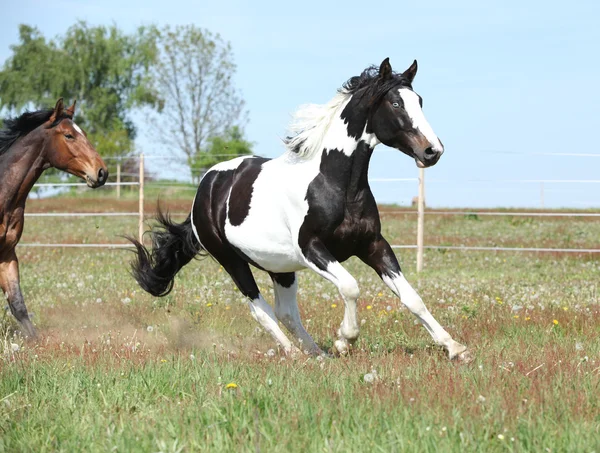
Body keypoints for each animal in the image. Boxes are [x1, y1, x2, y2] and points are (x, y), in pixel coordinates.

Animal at [130, 58, 468, 360]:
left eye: (419, 101)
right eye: (396, 104)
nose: (432, 151)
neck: (334, 184)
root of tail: (206, 187)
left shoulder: (373, 245)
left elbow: (412, 298)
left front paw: (455, 348)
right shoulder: (312, 249)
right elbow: (351, 287)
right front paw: (345, 340)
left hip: (280, 267)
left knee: (286, 312)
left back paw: (316, 354)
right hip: (231, 260)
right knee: (260, 308)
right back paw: (295, 353)